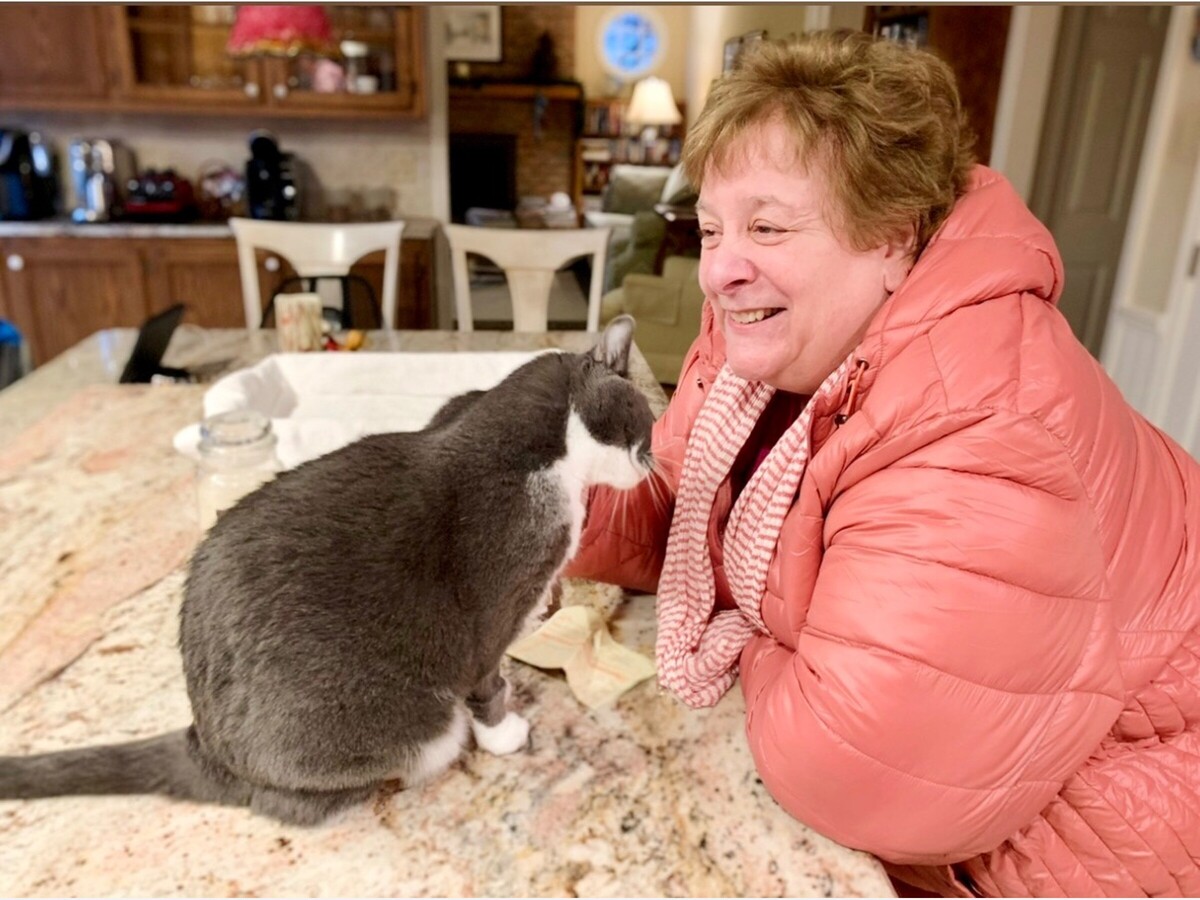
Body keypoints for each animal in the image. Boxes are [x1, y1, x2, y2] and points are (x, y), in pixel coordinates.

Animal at [0, 314, 657, 825]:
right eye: (647, 424)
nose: (651, 462)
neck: (531, 440)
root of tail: (204, 745)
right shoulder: (498, 597)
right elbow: (486, 678)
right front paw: (506, 734)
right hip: (406, 730)